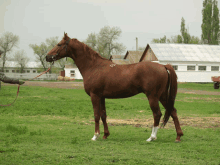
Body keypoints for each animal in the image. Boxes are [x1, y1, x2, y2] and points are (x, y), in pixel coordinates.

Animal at [45, 33, 183, 142]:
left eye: (59, 44)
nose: (47, 57)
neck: (94, 67)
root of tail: (163, 66)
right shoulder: (102, 97)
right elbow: (103, 115)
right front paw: (105, 135)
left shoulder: (95, 96)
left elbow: (96, 115)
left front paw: (95, 136)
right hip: (163, 96)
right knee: (173, 111)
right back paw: (178, 136)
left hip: (153, 96)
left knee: (157, 114)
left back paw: (151, 137)